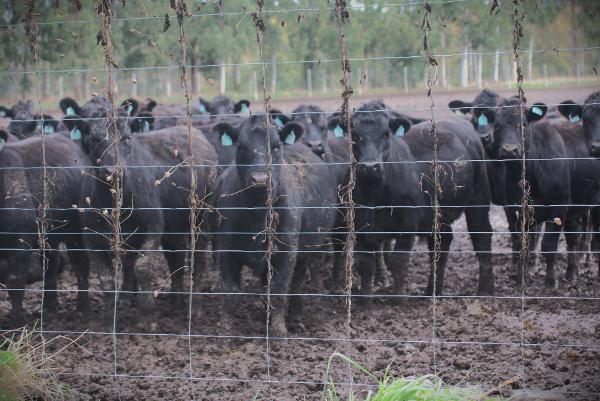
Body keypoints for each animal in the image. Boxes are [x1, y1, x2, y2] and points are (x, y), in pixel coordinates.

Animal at [0, 129, 94, 324]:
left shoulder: (19, 243)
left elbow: (15, 281)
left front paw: (17, 323)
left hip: (76, 232)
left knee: (81, 264)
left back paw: (83, 309)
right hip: (49, 236)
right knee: (50, 267)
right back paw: (49, 309)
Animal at [62, 96, 217, 322]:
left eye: (126, 137)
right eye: (93, 137)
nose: (113, 172)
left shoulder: (152, 228)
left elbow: (142, 269)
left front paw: (148, 316)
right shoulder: (93, 237)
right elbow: (107, 278)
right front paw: (109, 318)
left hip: (200, 219)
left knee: (198, 258)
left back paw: (193, 306)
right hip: (174, 226)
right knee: (175, 257)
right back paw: (175, 300)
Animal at [211, 114, 338, 336]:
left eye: (277, 146)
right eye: (241, 147)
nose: (261, 178)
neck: (257, 214)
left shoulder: (286, 253)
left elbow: (279, 289)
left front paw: (278, 331)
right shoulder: (226, 250)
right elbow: (230, 292)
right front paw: (225, 332)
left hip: (305, 251)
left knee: (296, 284)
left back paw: (294, 318)